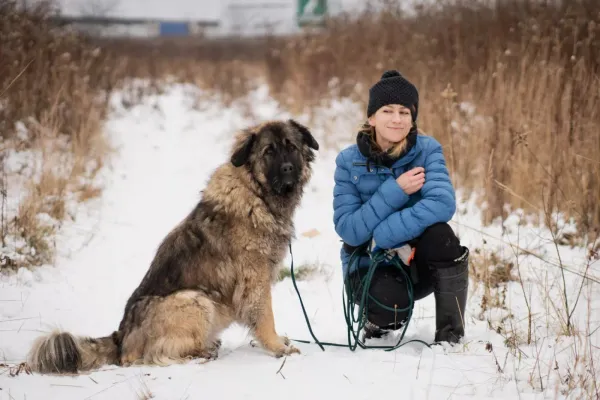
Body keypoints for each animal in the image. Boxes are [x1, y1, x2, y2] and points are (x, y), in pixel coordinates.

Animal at [27, 117, 318, 374]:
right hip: (196, 300)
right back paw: (202, 352)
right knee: (159, 353)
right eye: (269, 152)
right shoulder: (254, 280)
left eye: (292, 147)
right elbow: (265, 317)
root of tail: (121, 337)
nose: (288, 169)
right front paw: (278, 348)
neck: (257, 193)